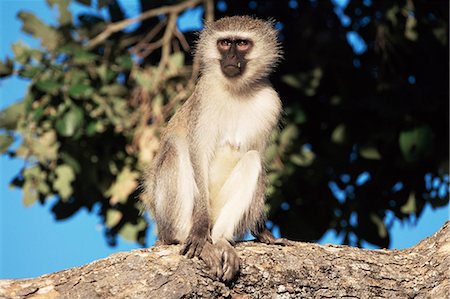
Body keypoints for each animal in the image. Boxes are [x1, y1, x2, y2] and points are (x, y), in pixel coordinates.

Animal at [142, 15, 286, 284]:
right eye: (225, 43)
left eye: (242, 44)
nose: (231, 57)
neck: (237, 91)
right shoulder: (205, 97)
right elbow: (197, 153)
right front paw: (198, 233)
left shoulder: (271, 102)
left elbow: (259, 155)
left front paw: (262, 231)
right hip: (171, 220)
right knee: (176, 148)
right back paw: (195, 240)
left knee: (252, 159)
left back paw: (221, 242)